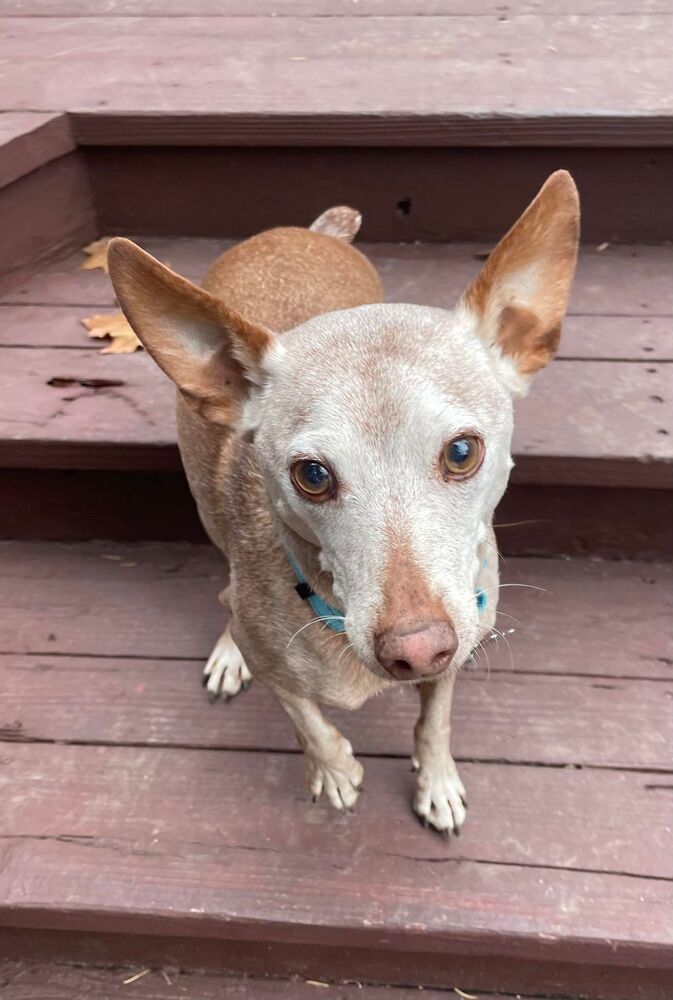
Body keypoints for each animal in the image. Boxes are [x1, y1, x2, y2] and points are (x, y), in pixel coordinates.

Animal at [109, 172, 576, 836]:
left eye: (462, 452)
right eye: (312, 475)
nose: (417, 649)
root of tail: (300, 232)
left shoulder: (459, 648)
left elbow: (436, 720)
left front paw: (437, 781)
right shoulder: (281, 670)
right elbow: (307, 719)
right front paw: (333, 771)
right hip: (207, 505)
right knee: (225, 581)